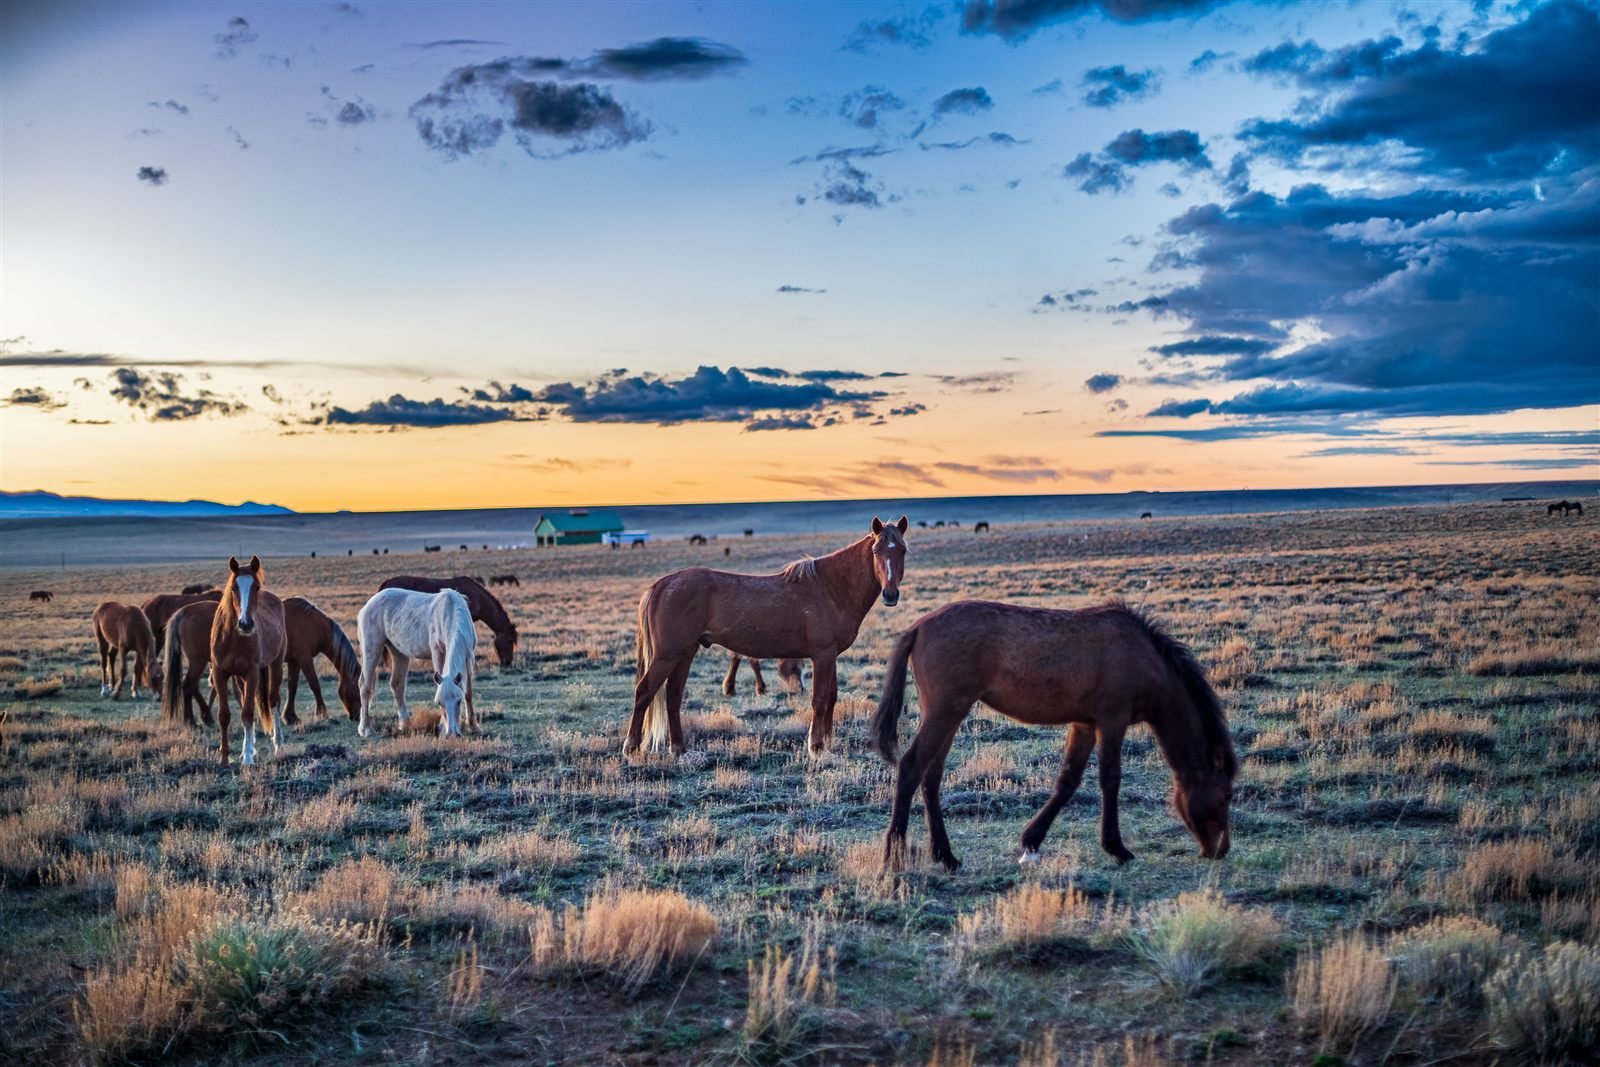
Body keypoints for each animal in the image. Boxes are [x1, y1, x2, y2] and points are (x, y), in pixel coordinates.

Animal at [210, 556, 287, 767]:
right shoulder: (220, 673)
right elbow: (224, 715)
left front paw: (247, 758)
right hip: (239, 678)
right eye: (233, 588)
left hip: (275, 664)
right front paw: (224, 757)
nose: (245, 624)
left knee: (274, 700)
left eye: (256, 587)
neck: (233, 638)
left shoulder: (252, 673)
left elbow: (247, 713)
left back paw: (277, 745)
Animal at [356, 587, 476, 738]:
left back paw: (405, 724)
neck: (451, 612)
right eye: (439, 703)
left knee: (397, 684)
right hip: (371, 650)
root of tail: (367, 606)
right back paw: (366, 729)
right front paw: (442, 727)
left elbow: (468, 692)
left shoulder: (468, 656)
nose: (452, 734)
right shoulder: (438, 652)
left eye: (458, 701)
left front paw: (474, 727)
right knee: (364, 686)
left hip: (398, 653)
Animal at [627, 516, 909, 757]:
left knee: (673, 696)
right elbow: (819, 700)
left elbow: (831, 696)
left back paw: (678, 748)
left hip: (685, 652)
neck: (832, 587)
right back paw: (631, 746)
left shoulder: (831, 656)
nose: (890, 595)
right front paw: (816, 746)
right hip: (667, 655)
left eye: (902, 551)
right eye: (876, 552)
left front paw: (827, 741)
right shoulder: (822, 655)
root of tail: (662, 584)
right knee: (644, 691)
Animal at [871, 600, 1237, 873]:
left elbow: (1068, 780)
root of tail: (919, 627)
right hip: (946, 711)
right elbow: (1110, 779)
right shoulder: (1112, 720)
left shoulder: (1085, 724)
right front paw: (1117, 848)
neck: (1145, 657)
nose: (1219, 850)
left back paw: (946, 856)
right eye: (1225, 796)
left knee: (930, 777)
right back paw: (893, 854)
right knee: (911, 767)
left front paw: (1032, 840)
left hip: (948, 715)